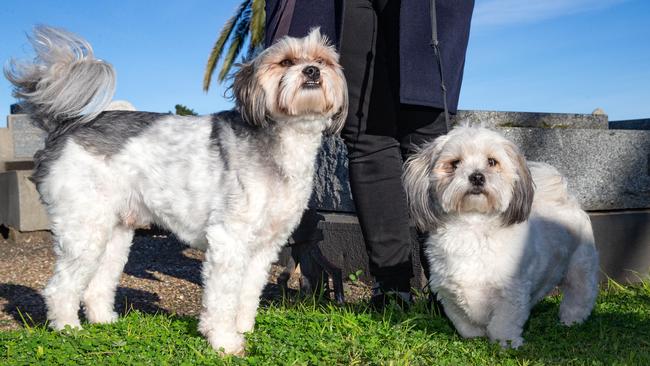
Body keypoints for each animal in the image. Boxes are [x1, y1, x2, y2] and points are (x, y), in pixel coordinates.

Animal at [5, 25, 346, 354]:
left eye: (324, 60)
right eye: (286, 62)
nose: (312, 71)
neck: (282, 142)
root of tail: (65, 127)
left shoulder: (264, 247)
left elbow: (248, 294)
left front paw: (243, 329)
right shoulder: (228, 240)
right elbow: (222, 298)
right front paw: (224, 341)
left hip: (114, 234)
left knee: (96, 285)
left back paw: (104, 322)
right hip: (84, 229)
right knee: (59, 288)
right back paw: (68, 329)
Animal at [400, 126, 596, 348]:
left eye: (492, 162)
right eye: (455, 163)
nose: (477, 176)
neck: (473, 228)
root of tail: (567, 200)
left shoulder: (511, 293)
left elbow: (503, 323)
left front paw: (507, 344)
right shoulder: (449, 295)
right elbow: (465, 323)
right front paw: (475, 338)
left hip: (580, 268)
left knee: (580, 295)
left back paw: (571, 320)